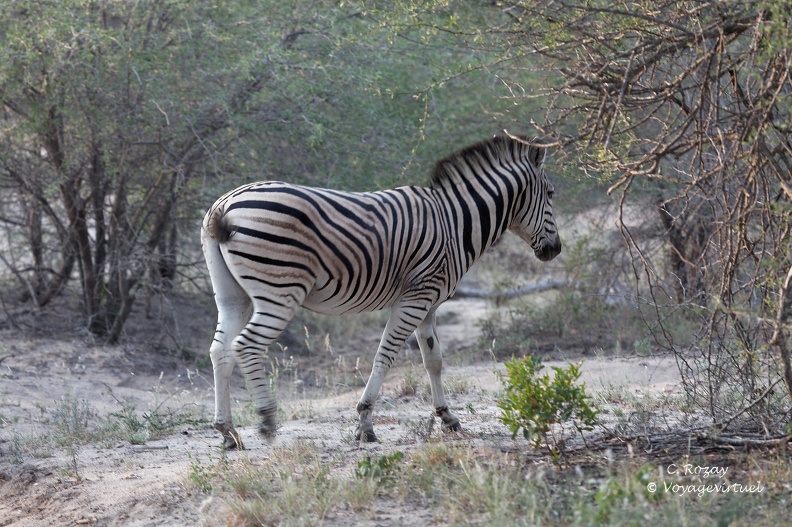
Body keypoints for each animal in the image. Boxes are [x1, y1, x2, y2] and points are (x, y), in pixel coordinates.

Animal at [201, 134, 561, 449]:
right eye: (551, 193)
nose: (555, 250)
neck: (454, 222)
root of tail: (225, 205)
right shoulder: (415, 298)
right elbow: (385, 356)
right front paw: (365, 423)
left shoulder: (428, 304)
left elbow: (433, 360)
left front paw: (448, 418)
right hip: (281, 290)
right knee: (246, 345)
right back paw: (267, 422)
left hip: (233, 296)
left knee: (220, 350)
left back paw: (227, 431)